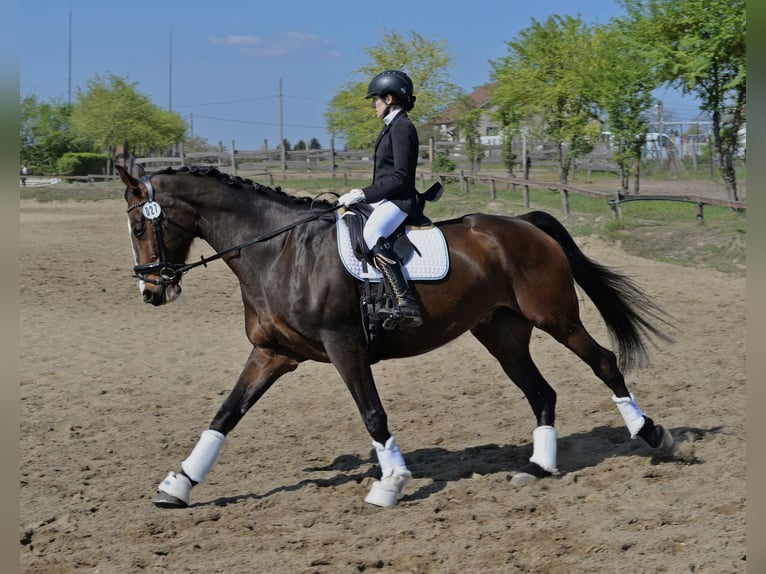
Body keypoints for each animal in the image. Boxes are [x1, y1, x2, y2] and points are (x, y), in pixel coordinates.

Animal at [116, 164, 675, 509]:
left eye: (142, 228)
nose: (150, 291)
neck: (279, 253)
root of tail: (524, 223)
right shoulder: (272, 353)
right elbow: (225, 415)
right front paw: (178, 484)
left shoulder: (344, 346)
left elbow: (372, 413)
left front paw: (391, 484)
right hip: (502, 334)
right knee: (542, 392)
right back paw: (537, 467)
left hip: (555, 317)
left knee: (603, 362)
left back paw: (654, 436)